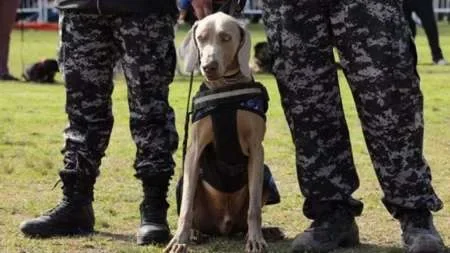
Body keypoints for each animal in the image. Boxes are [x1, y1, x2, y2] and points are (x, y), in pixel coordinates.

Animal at [163, 12, 284, 253]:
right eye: (201, 38)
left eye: (226, 37)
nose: (208, 66)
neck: (225, 86)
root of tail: (223, 227)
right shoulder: (194, 149)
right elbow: (186, 207)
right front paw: (180, 239)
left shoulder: (257, 150)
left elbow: (254, 208)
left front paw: (256, 239)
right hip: (183, 183)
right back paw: (195, 233)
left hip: (266, 176)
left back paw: (265, 231)